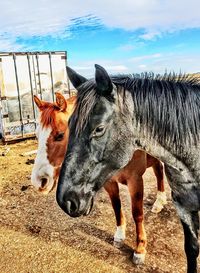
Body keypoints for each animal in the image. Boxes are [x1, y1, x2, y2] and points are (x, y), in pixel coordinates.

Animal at [30, 92, 166, 264]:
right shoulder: (109, 182)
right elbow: (116, 207)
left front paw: (140, 248)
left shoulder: (135, 181)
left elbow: (137, 214)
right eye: (37, 135)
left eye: (60, 135)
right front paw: (119, 235)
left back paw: (159, 202)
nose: (38, 180)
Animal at [56, 64, 200, 272]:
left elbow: (137, 213)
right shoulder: (184, 207)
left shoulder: (135, 181)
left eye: (99, 129)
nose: (66, 201)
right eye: (69, 125)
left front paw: (139, 250)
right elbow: (191, 249)